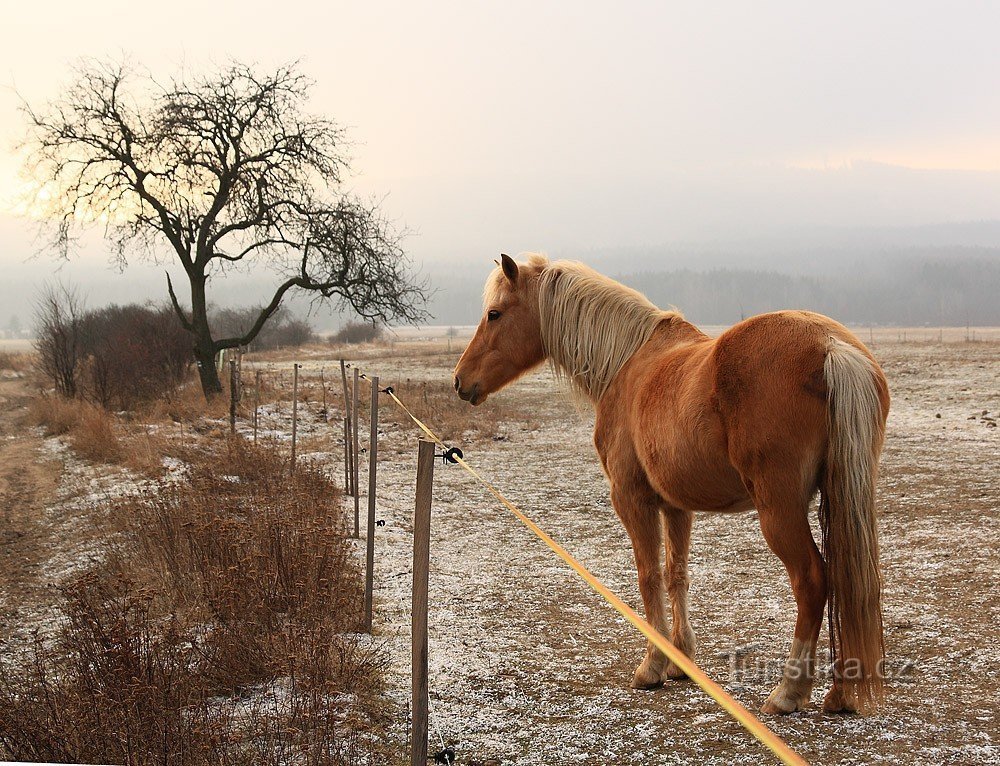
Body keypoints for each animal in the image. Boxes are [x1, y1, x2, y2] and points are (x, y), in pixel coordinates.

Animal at [456, 255, 892, 716]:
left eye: (494, 314)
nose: (460, 380)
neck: (626, 363)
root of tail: (832, 347)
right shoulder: (676, 505)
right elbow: (675, 574)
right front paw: (682, 660)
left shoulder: (632, 500)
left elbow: (648, 576)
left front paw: (652, 666)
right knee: (849, 583)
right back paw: (840, 693)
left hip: (780, 510)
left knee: (812, 582)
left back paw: (789, 691)